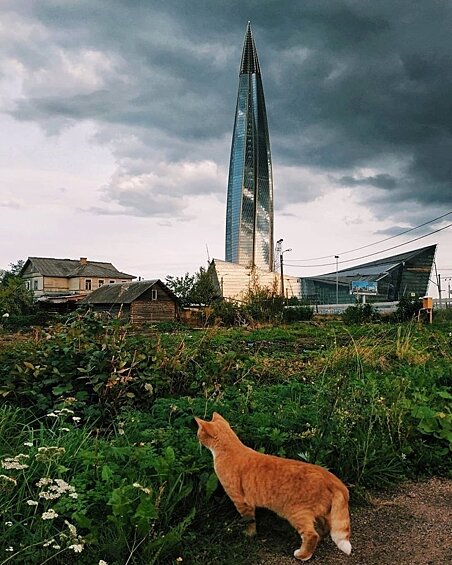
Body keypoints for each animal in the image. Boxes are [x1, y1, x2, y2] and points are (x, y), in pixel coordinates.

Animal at [196, 410, 352, 560]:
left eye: (199, 432)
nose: (197, 438)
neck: (230, 448)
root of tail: (333, 479)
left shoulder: (241, 501)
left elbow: (249, 520)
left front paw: (249, 534)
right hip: (321, 513)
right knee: (325, 529)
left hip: (297, 512)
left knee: (312, 535)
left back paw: (302, 555)